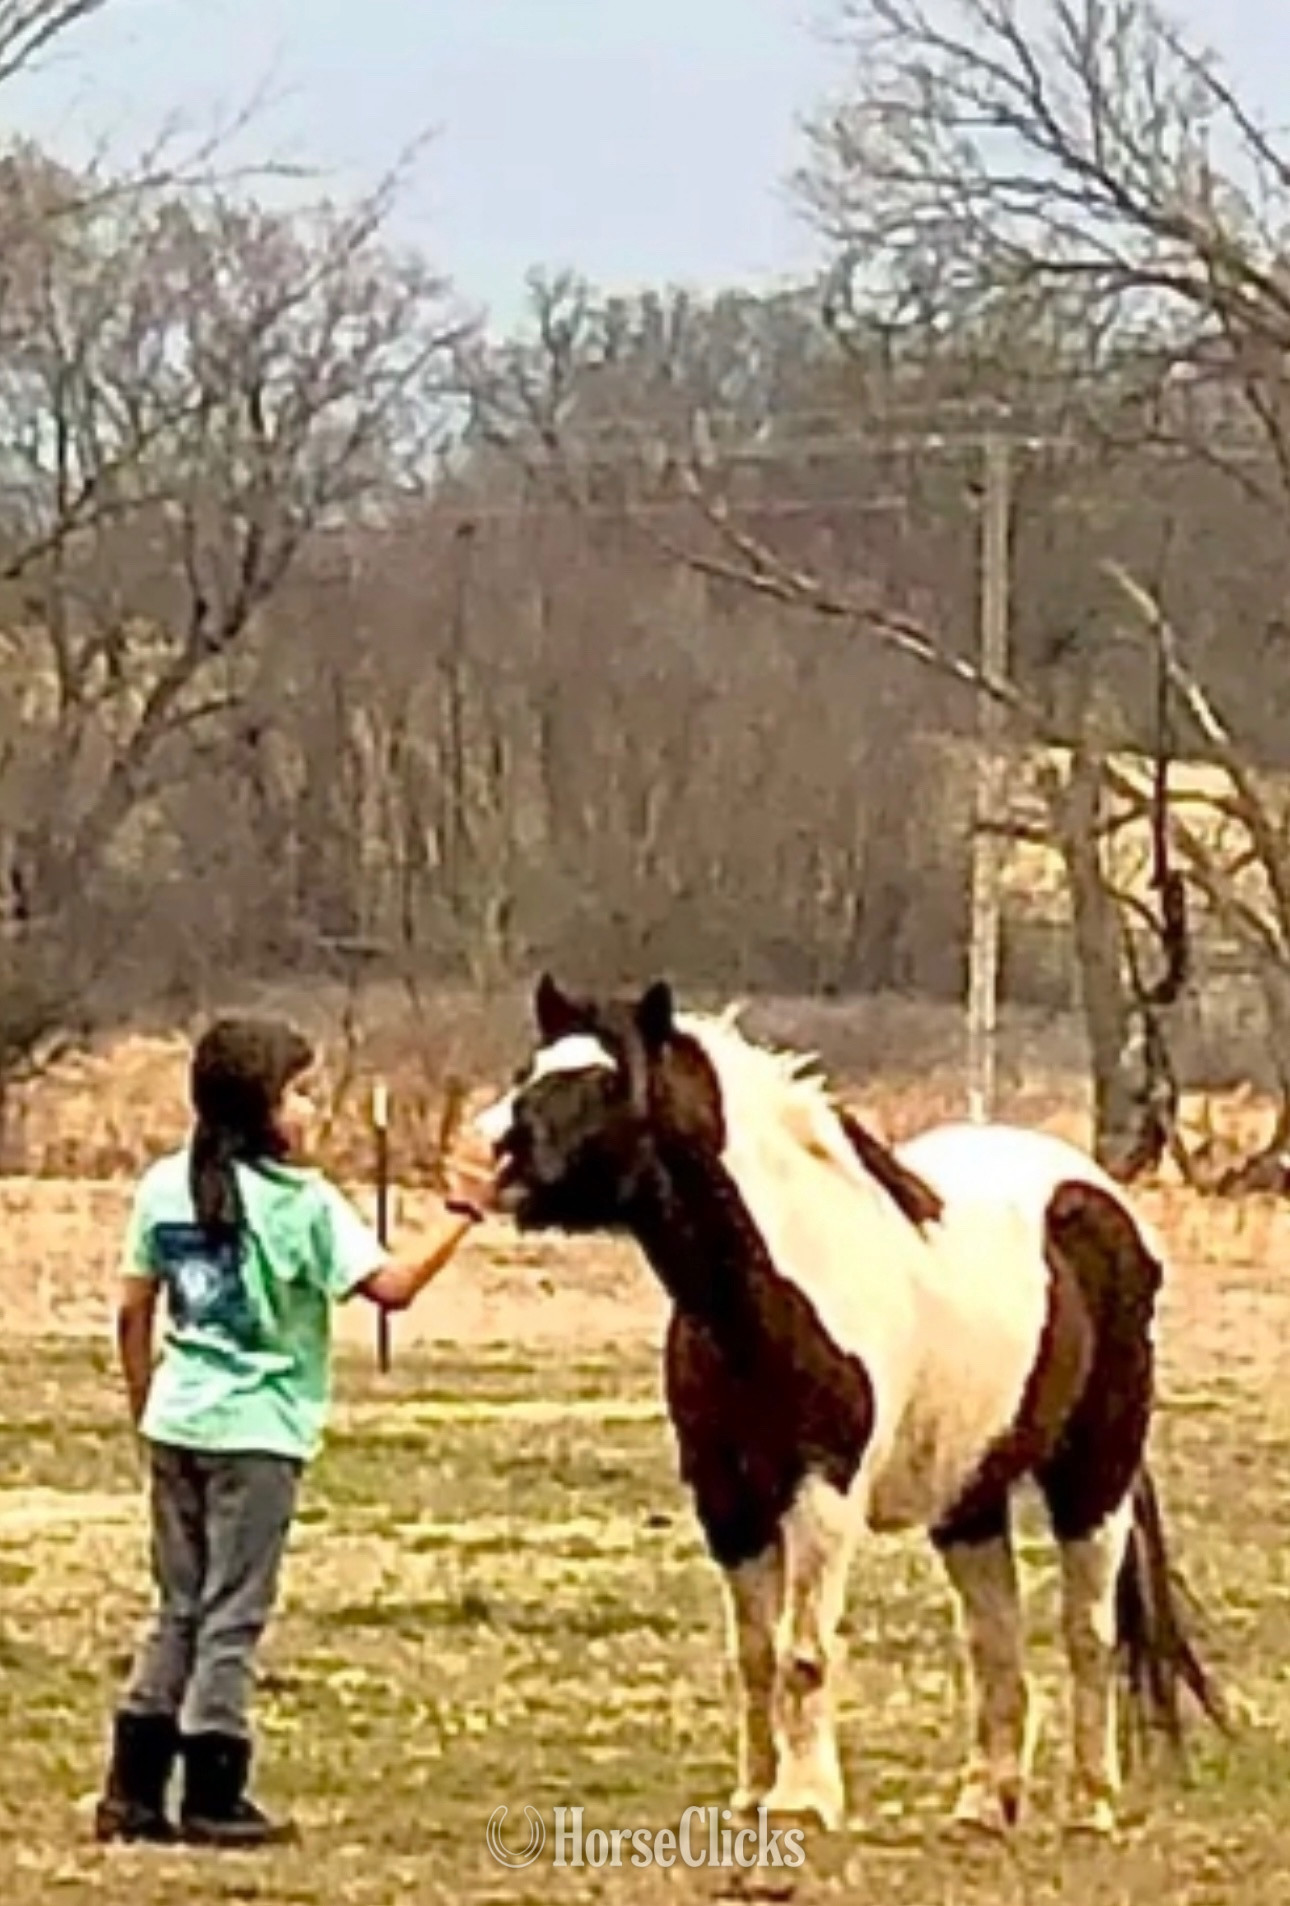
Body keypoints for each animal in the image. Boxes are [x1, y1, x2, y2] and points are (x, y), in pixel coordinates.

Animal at [475, 974, 1227, 1837]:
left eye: (606, 1081)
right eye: (530, 1069)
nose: (496, 1151)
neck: (774, 1287)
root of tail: (1101, 1197)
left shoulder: (823, 1490)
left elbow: (804, 1653)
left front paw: (806, 1800)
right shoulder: (725, 1498)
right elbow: (755, 1654)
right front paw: (754, 1793)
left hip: (1093, 1478)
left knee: (1087, 1633)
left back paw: (1092, 1804)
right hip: (968, 1499)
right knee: (993, 1639)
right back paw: (984, 1803)